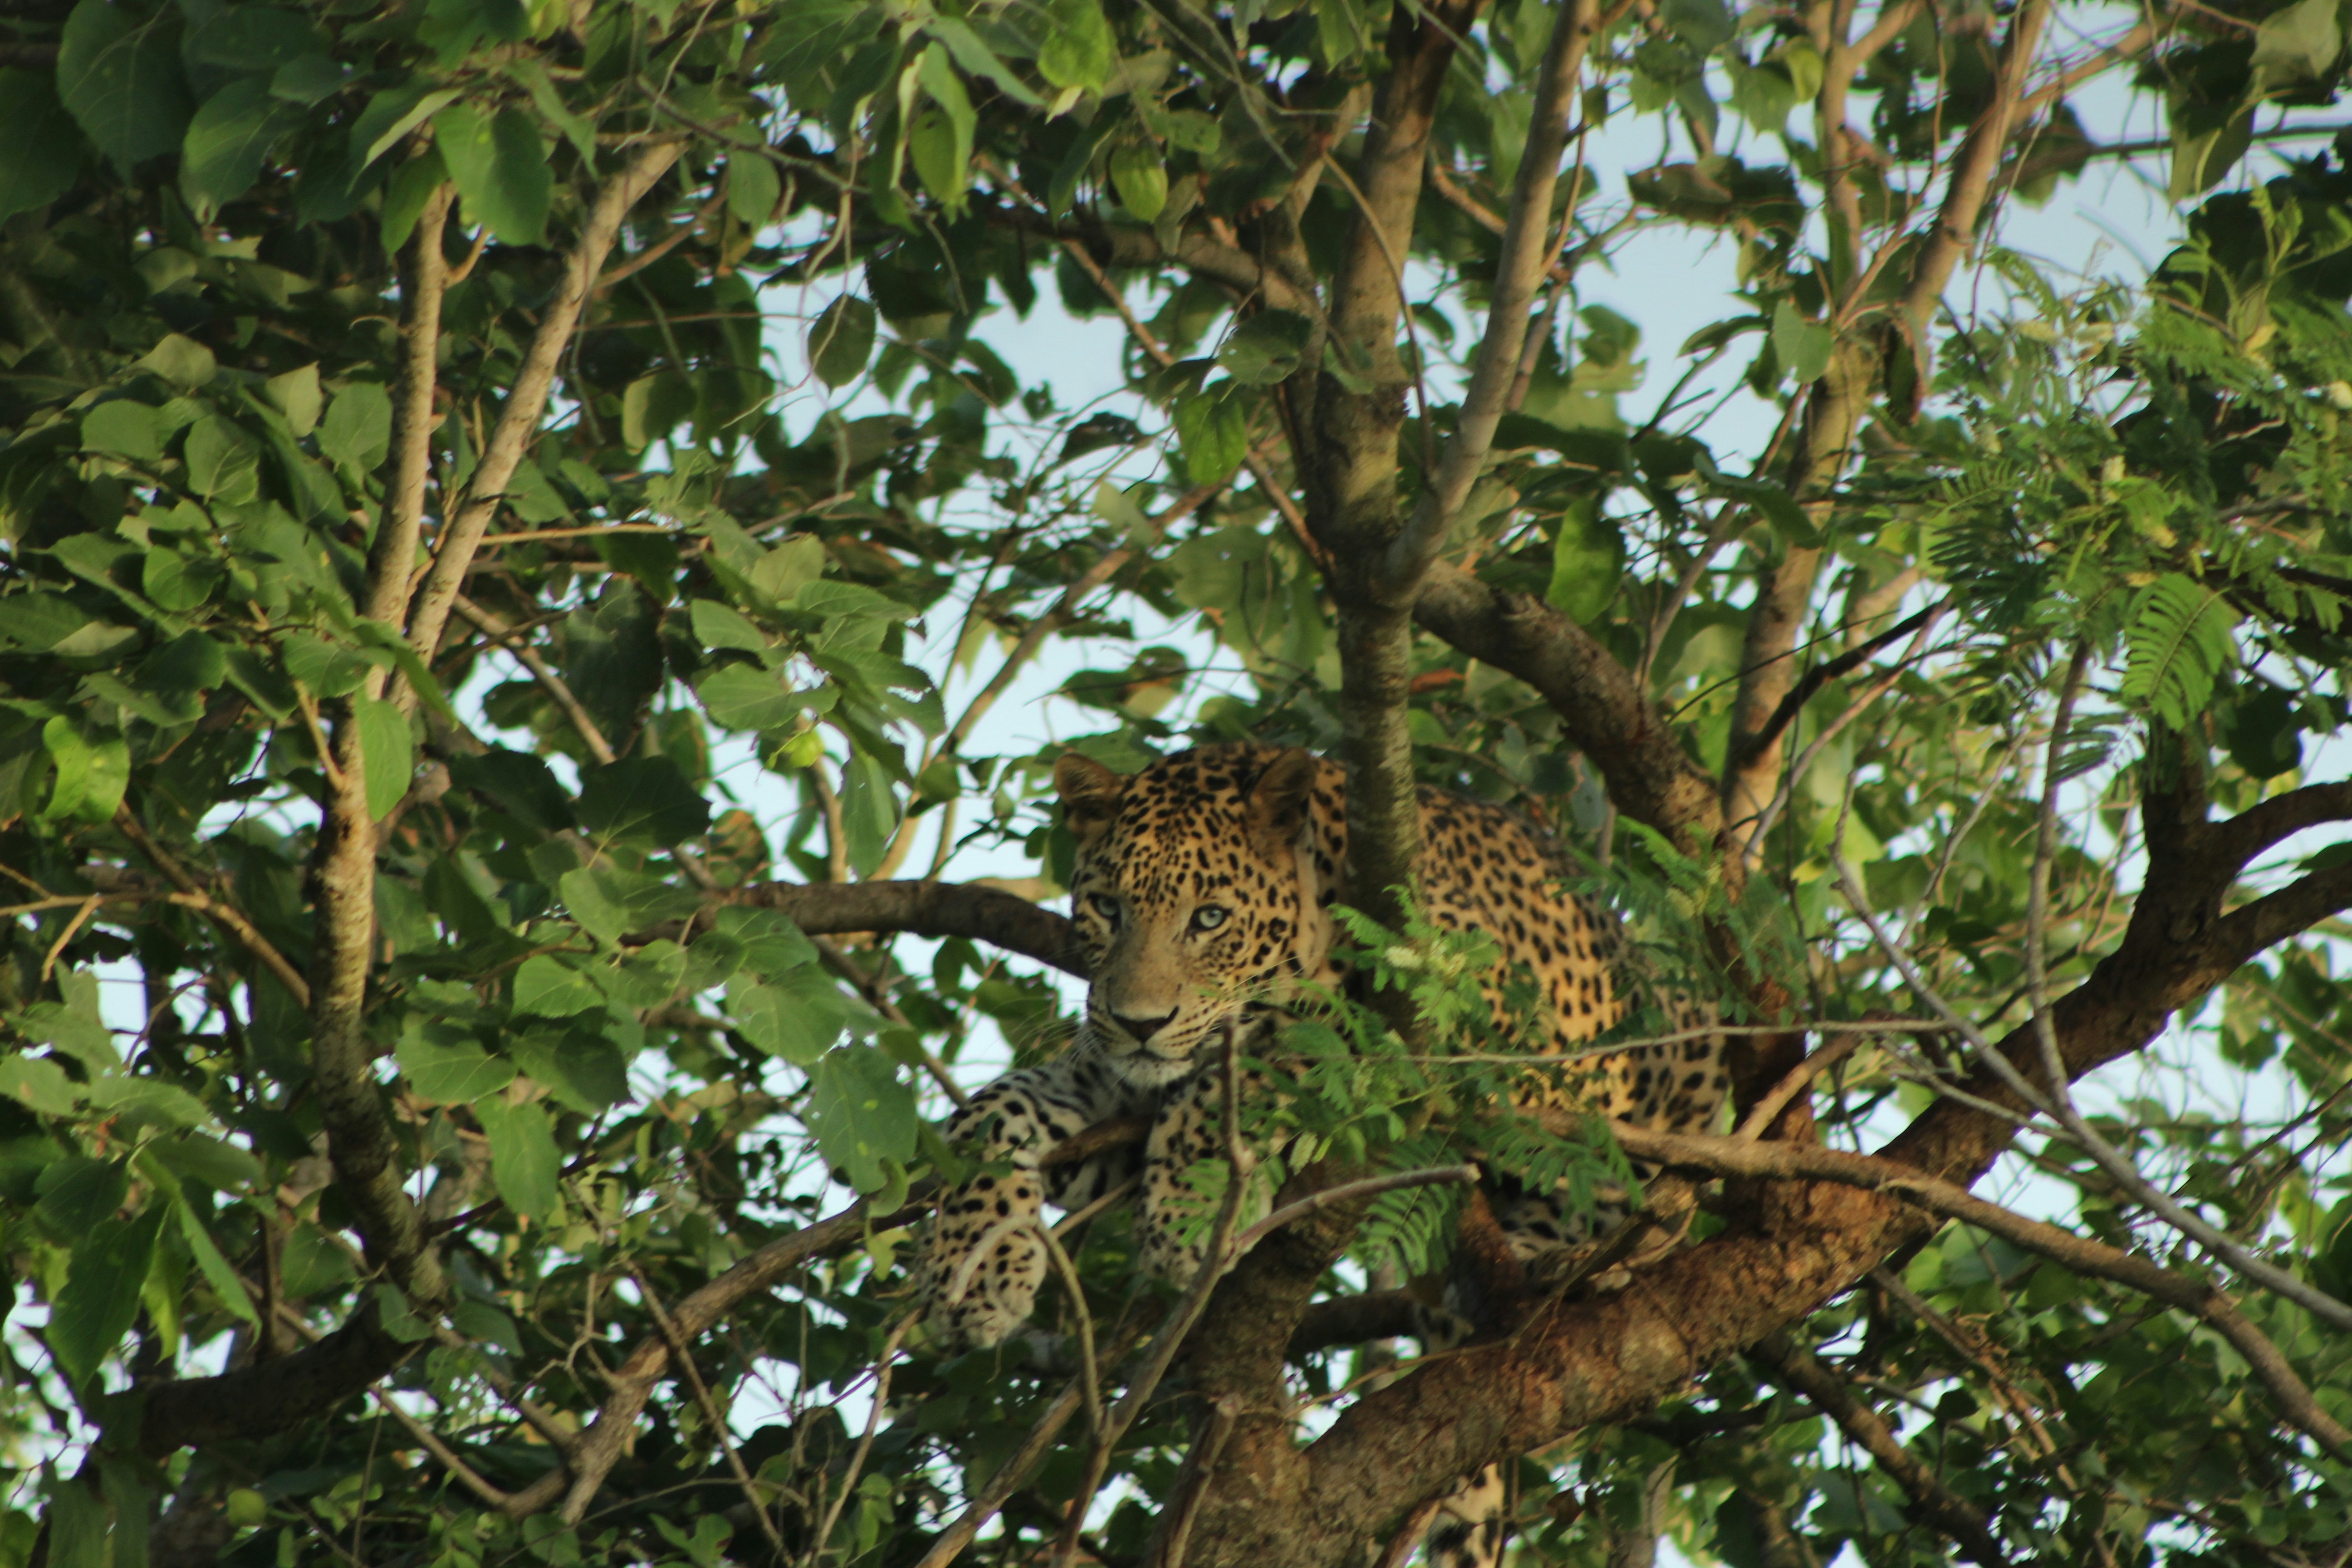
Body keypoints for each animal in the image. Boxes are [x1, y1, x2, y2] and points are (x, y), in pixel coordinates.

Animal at [913, 744, 1725, 1566]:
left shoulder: (1461, 1003)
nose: (1140, 1023)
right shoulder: (1106, 1084)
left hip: (1672, 1048)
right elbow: (985, 1118)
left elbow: (1266, 1056)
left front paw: (1187, 1216)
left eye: (1209, 919)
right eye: (1109, 908)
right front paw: (971, 1273)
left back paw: (1564, 1263)